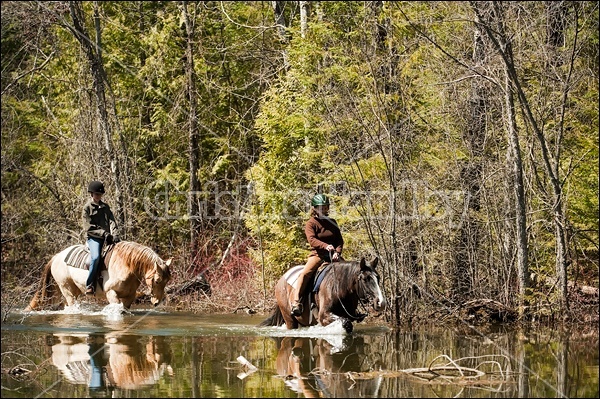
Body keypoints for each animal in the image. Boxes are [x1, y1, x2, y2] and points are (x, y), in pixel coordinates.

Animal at [27, 241, 172, 312]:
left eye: (167, 281)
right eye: (157, 280)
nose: (157, 302)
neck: (125, 264)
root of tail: (57, 257)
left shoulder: (130, 296)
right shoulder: (111, 293)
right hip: (67, 289)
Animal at [256, 258, 384, 332]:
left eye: (378, 277)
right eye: (365, 279)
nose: (381, 302)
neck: (339, 286)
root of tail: (282, 278)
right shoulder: (324, 316)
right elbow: (345, 323)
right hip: (289, 319)